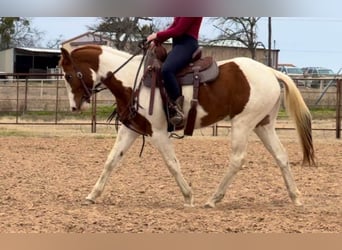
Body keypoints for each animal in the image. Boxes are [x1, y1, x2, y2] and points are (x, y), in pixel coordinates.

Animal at [59, 45, 316, 209]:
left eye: (68, 75)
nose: (73, 106)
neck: (135, 80)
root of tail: (271, 71)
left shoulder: (158, 133)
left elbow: (172, 164)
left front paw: (188, 197)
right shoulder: (131, 129)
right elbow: (111, 161)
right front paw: (92, 195)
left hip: (243, 124)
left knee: (237, 159)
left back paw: (213, 199)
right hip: (263, 125)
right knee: (281, 156)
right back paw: (295, 197)